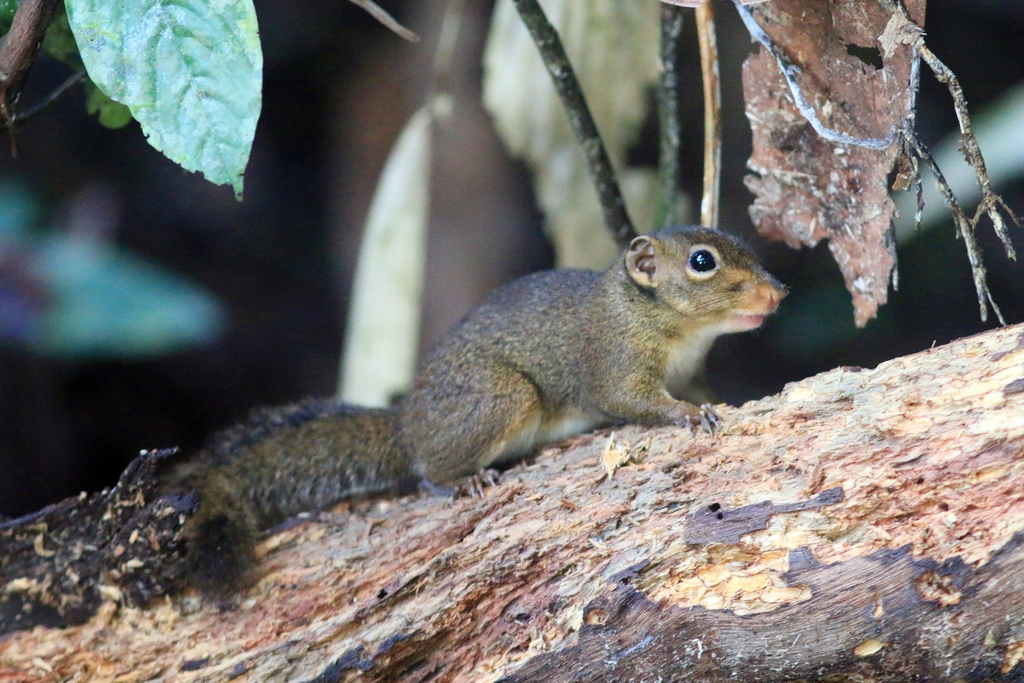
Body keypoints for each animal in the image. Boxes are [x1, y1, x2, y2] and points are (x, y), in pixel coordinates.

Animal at [161, 225, 786, 595]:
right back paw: (461, 480)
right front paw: (688, 416)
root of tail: (407, 424)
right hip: (500, 397)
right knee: (427, 472)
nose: (778, 291)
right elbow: (630, 400)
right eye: (702, 261)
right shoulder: (612, 360)